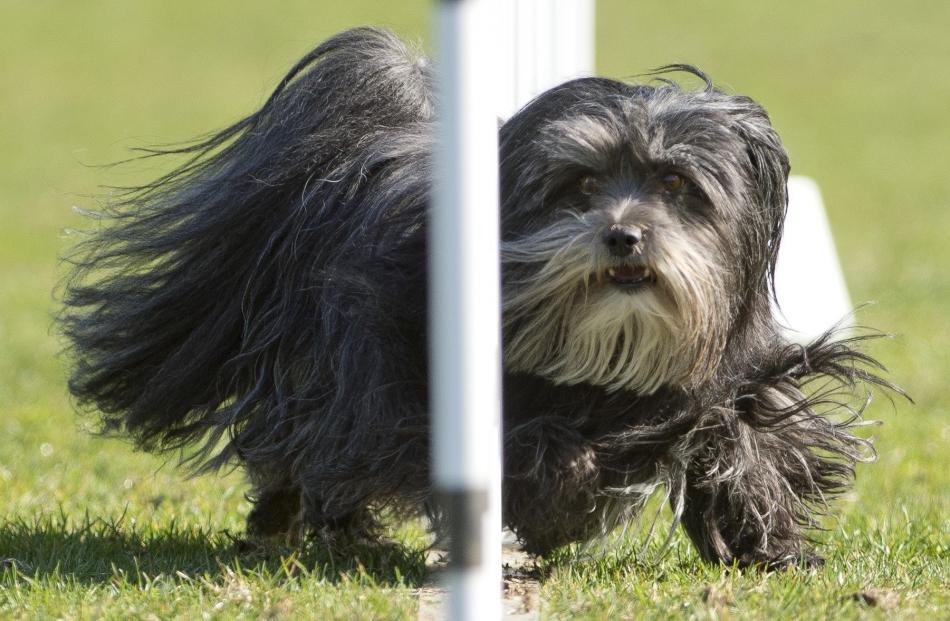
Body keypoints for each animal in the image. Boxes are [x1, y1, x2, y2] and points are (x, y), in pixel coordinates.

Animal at [61, 27, 900, 568]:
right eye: (581, 185)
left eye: (676, 184)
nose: (624, 237)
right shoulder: (415, 379)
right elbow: (536, 455)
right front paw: (555, 509)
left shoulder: (734, 381)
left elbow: (745, 437)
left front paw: (770, 544)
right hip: (342, 372)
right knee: (311, 447)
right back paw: (321, 528)